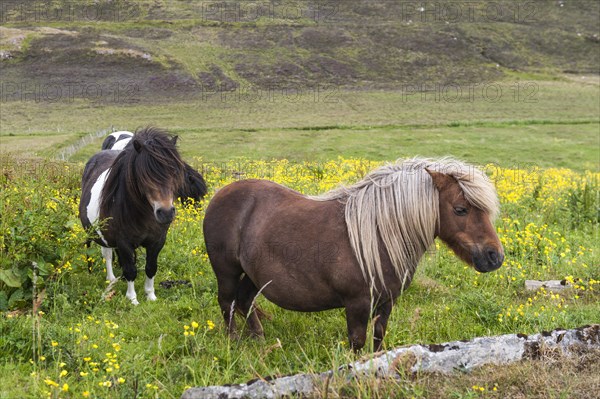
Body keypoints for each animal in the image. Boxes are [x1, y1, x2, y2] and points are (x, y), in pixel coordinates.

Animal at [79, 128, 186, 306]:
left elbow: (151, 267)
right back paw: (111, 279)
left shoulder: (157, 241)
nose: (165, 212)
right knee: (107, 255)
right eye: (144, 174)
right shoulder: (124, 243)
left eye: (174, 171)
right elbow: (130, 270)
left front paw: (150, 295)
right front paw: (133, 299)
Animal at [204, 158, 504, 352]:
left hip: (253, 275)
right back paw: (234, 344)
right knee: (228, 303)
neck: (378, 235)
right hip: (227, 272)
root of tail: (220, 194)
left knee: (244, 302)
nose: (494, 257)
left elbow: (378, 340)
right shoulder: (357, 305)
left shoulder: (386, 303)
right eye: (460, 209)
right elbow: (357, 344)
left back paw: (259, 341)